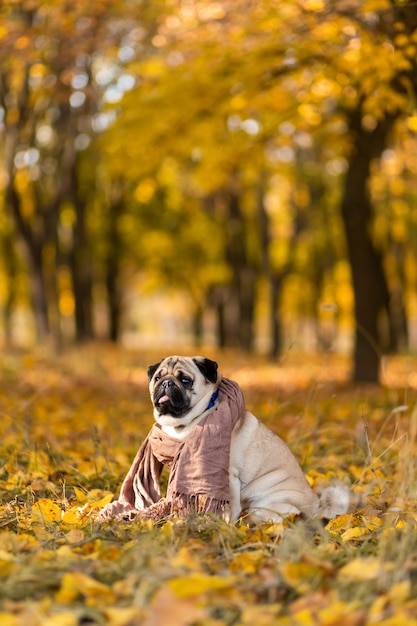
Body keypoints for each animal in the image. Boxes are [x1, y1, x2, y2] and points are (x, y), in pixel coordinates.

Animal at [146, 356, 348, 520]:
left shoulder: (228, 477)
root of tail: (317, 507)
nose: (166, 383)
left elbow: (228, 508)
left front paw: (222, 525)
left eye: (185, 381)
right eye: (157, 378)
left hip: (264, 504)